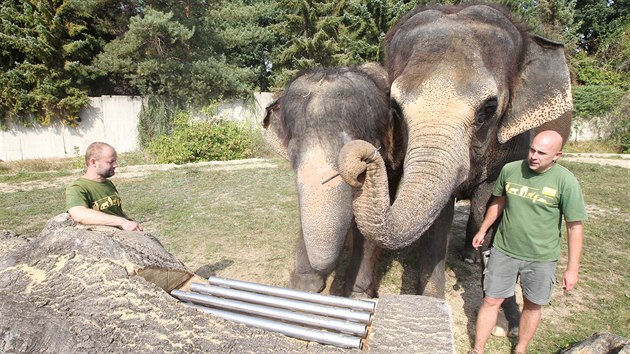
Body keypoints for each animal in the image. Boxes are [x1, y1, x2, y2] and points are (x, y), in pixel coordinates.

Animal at [338, 3, 576, 302]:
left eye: (489, 107)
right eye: (395, 106)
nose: (364, 158)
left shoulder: (516, 142)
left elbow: (488, 199)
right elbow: (438, 219)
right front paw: (430, 299)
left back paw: (470, 257)